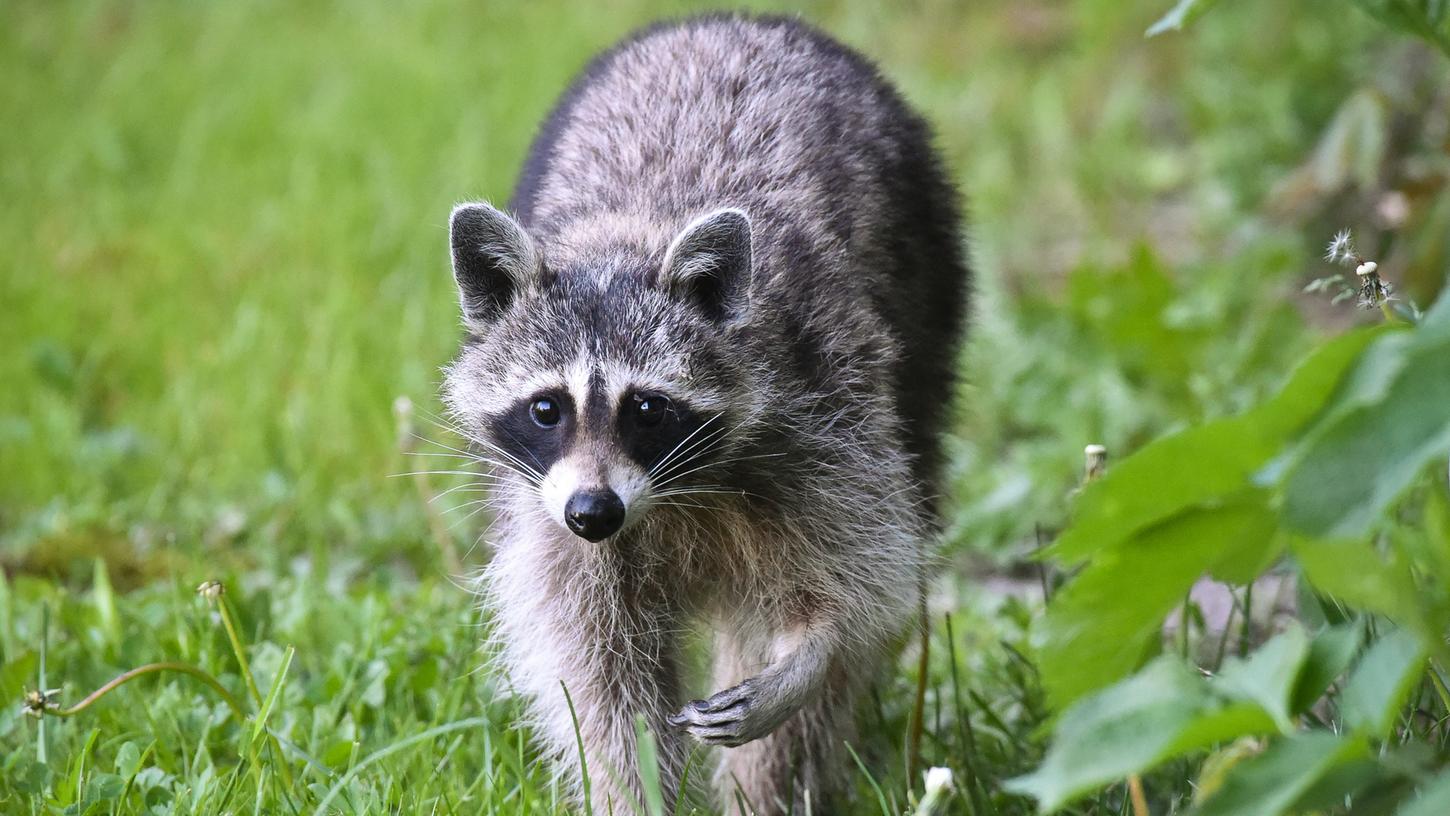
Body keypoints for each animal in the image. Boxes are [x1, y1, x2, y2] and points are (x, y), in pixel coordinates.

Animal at [437, 14, 962, 816]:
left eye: (647, 408)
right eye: (547, 408)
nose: (594, 511)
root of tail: (726, 20)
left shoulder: (829, 401)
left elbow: (865, 576)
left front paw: (814, 648)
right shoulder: (552, 518)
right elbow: (600, 675)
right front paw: (638, 792)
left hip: (928, 285)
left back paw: (773, 786)